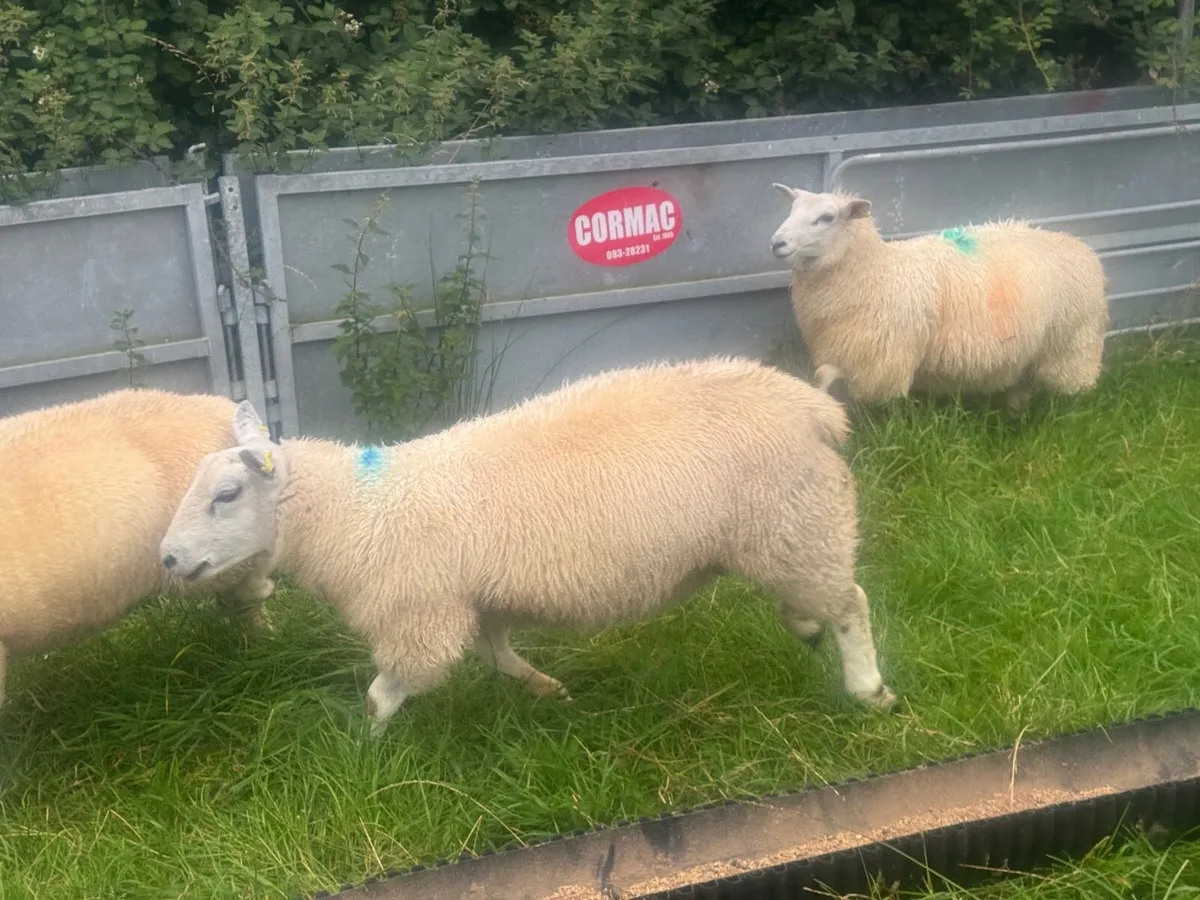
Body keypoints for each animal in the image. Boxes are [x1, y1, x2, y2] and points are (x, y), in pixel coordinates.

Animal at [159, 357, 899, 736]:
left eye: (227, 494)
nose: (166, 559)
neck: (358, 511)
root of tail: (813, 408)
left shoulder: (420, 617)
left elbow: (383, 693)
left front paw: (363, 753)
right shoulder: (476, 601)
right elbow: (498, 656)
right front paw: (548, 690)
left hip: (797, 521)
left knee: (852, 603)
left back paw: (869, 689)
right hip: (781, 532)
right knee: (816, 600)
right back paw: (804, 627)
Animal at [768, 184, 1109, 412]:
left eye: (826, 217)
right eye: (792, 210)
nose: (777, 243)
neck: (875, 272)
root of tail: (1080, 247)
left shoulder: (880, 362)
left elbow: (833, 378)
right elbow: (822, 377)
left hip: (1071, 345)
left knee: (1071, 393)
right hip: (1031, 350)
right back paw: (1015, 410)